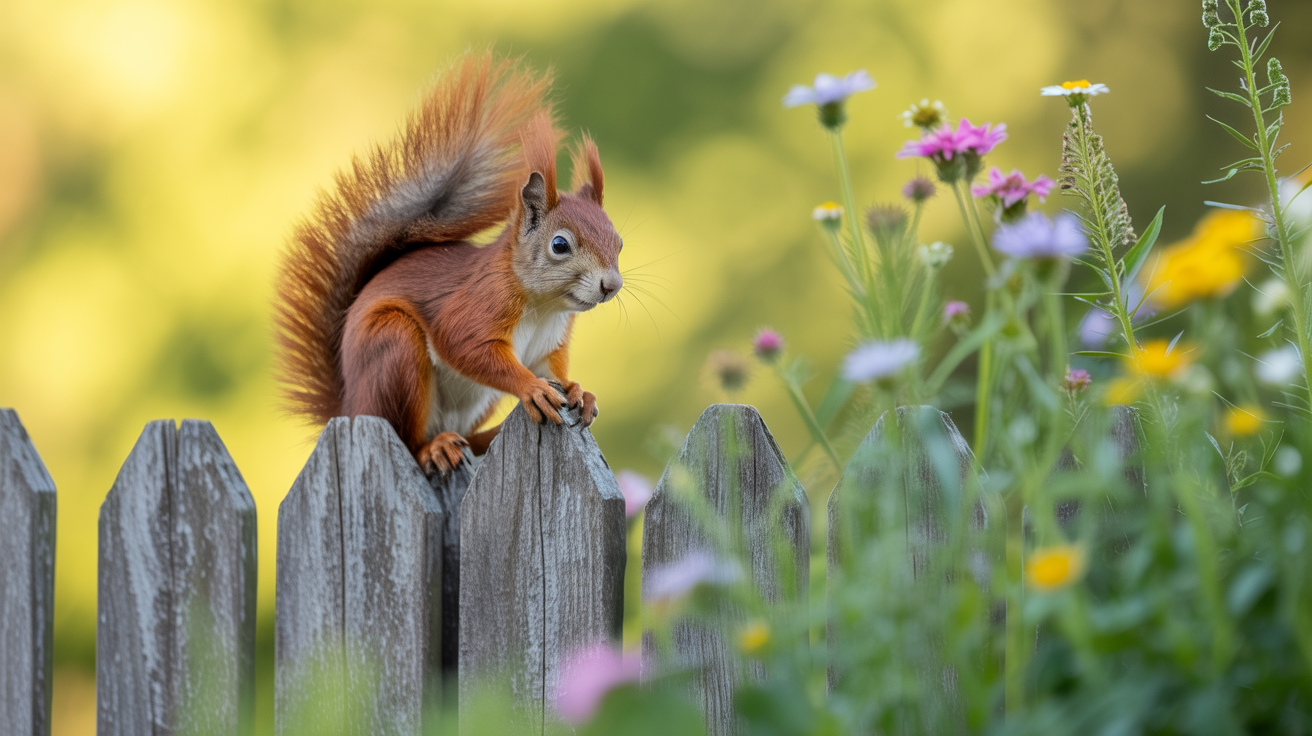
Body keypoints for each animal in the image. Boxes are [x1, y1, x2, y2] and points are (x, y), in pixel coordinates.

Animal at [275, 53, 623, 474]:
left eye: (619, 243)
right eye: (560, 245)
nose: (611, 285)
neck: (544, 307)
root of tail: (351, 409)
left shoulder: (548, 343)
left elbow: (551, 368)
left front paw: (577, 390)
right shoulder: (475, 305)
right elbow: (466, 346)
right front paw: (532, 389)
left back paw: (482, 438)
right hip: (394, 351)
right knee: (407, 438)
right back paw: (434, 447)